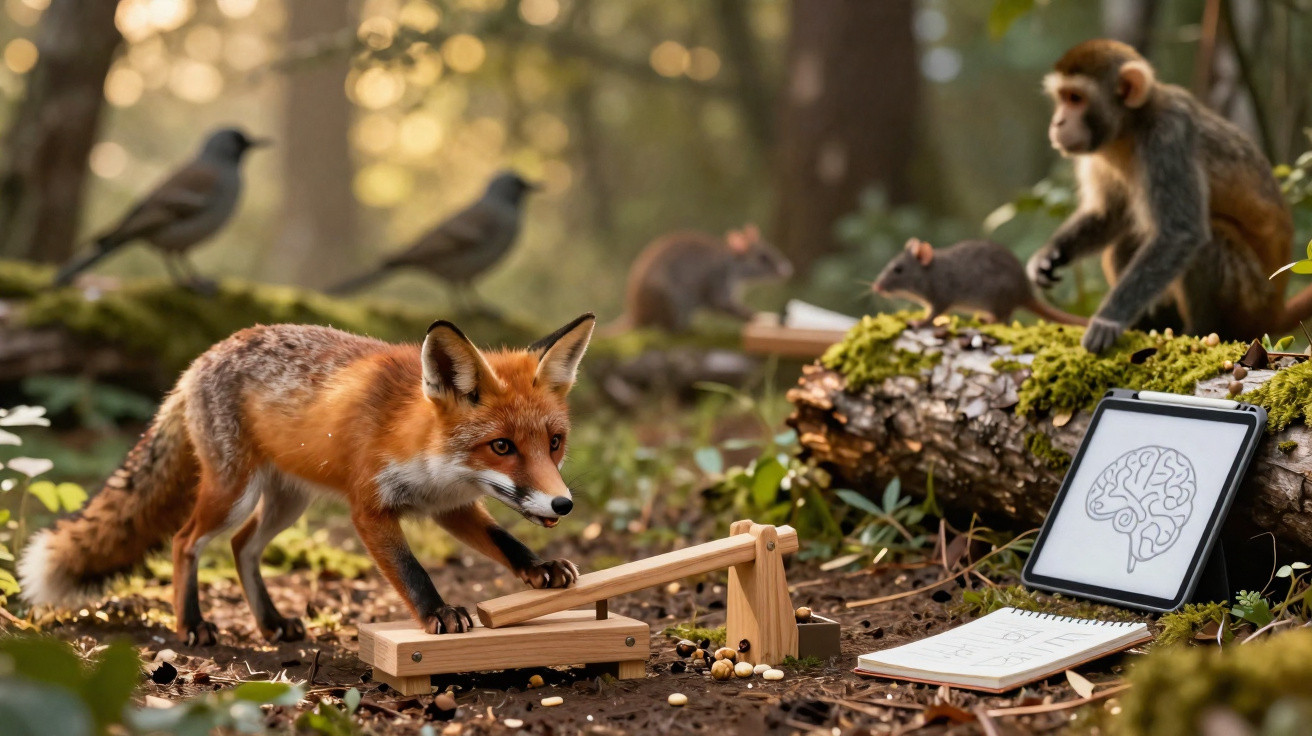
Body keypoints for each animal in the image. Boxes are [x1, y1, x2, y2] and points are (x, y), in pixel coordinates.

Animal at [18, 314, 595, 645]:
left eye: (554, 443)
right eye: (502, 447)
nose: (563, 505)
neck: (424, 449)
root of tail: (202, 357)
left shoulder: (448, 506)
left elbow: (505, 540)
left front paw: (539, 568)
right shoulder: (369, 509)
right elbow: (411, 572)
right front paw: (437, 613)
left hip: (285, 504)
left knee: (243, 545)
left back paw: (272, 622)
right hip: (232, 493)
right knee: (186, 542)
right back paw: (193, 625)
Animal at [1026, 39, 1312, 353]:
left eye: (1076, 98)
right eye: (1062, 98)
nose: (1058, 122)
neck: (1131, 127)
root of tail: (1275, 309)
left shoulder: (1169, 137)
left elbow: (1181, 233)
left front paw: (1108, 320)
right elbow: (1109, 215)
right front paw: (1051, 255)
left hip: (1251, 299)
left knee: (1210, 241)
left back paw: (1205, 331)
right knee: (1126, 241)